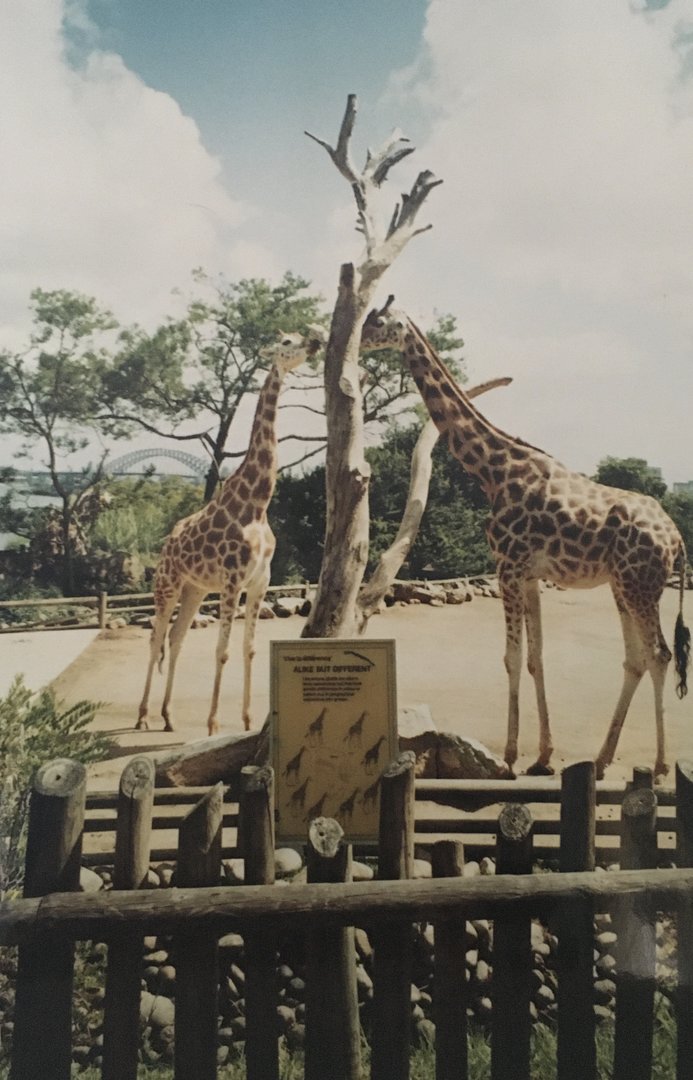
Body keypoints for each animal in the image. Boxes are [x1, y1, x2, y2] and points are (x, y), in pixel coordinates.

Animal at [136, 324, 327, 736]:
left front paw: (248, 720)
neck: (258, 504)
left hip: (193, 589)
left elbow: (248, 648)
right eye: (286, 342)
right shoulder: (232, 580)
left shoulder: (260, 581)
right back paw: (142, 715)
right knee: (156, 638)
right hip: (167, 584)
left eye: (300, 334)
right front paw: (212, 725)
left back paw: (168, 717)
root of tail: (166, 543)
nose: (316, 340)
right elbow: (221, 651)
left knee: (176, 639)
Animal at [361, 299, 691, 780]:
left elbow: (512, 658)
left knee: (661, 655)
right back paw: (603, 758)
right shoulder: (531, 574)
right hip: (623, 586)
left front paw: (512, 757)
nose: (353, 343)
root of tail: (677, 538)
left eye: (378, 322)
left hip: (640, 585)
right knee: (636, 658)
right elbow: (536, 658)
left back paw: (662, 765)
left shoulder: (508, 566)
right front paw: (543, 756)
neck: (494, 471)